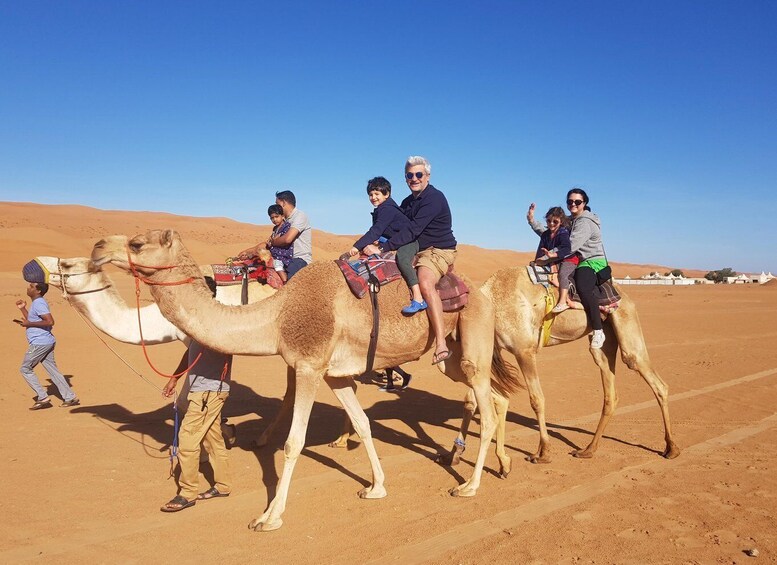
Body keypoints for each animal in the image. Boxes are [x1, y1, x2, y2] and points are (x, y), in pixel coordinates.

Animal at [92, 228, 520, 528]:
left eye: (136, 243)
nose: (97, 247)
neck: (277, 315)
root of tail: (481, 292)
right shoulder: (335, 376)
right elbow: (362, 424)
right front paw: (376, 487)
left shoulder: (309, 367)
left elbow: (294, 442)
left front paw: (269, 517)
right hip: (451, 354)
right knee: (495, 395)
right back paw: (502, 465)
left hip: (472, 334)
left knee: (487, 404)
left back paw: (469, 485)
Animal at [446, 266, 676, 464]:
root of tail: (623, 294)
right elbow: (471, 400)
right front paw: (454, 453)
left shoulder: (524, 350)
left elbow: (537, 400)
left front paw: (543, 452)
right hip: (602, 340)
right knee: (610, 393)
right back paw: (588, 450)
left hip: (625, 320)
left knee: (651, 376)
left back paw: (671, 448)